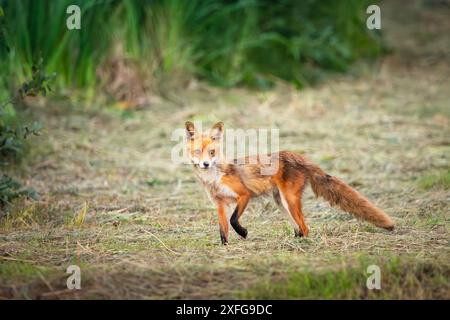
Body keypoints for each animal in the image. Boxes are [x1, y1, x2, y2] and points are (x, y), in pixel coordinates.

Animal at [185, 120, 396, 245]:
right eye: (197, 152)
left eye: (212, 152)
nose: (205, 164)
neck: (214, 177)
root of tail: (297, 155)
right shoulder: (220, 203)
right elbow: (223, 230)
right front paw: (226, 246)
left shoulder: (244, 195)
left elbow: (233, 220)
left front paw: (243, 233)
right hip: (281, 202)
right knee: (298, 228)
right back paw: (294, 241)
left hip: (289, 200)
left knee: (305, 228)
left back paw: (300, 245)